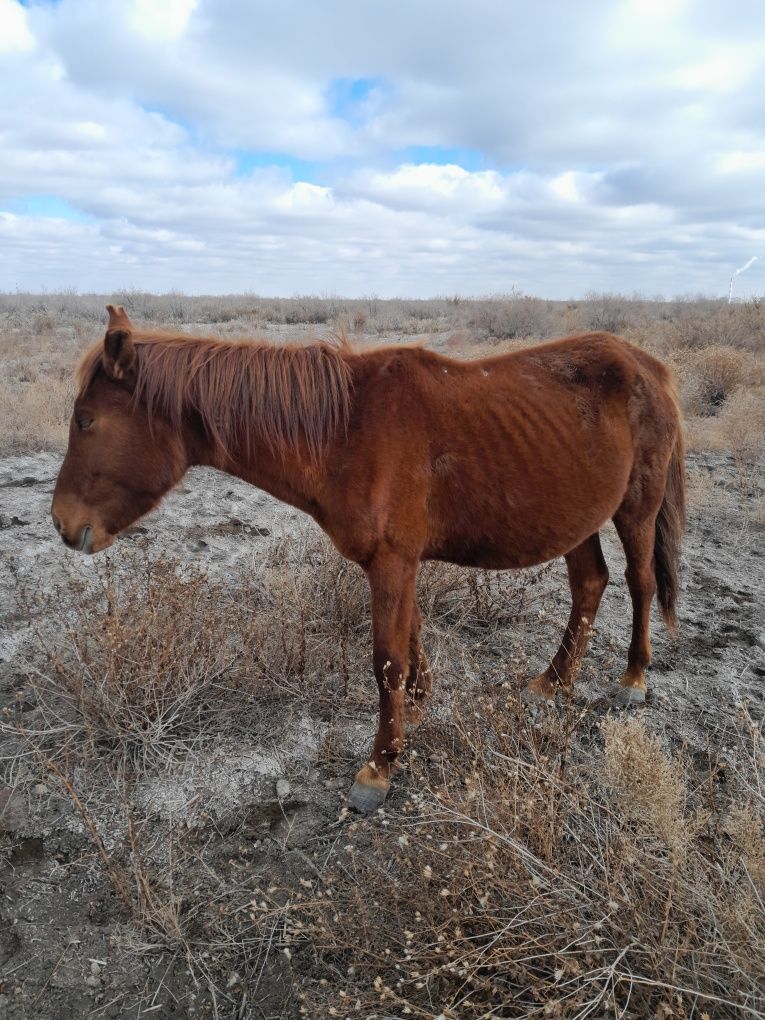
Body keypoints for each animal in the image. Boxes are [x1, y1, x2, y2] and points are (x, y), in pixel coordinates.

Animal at [54, 303, 689, 811]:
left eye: (87, 421)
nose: (62, 524)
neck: (344, 433)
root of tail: (651, 367)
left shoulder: (391, 562)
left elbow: (386, 660)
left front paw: (379, 768)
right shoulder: (397, 565)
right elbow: (410, 638)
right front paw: (419, 707)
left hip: (636, 507)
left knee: (638, 582)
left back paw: (633, 678)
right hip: (574, 514)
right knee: (590, 583)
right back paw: (553, 682)